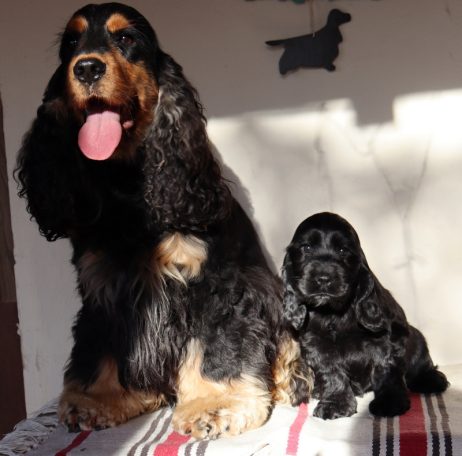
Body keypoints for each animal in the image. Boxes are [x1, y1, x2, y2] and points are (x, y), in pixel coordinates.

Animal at [15, 3, 310, 438]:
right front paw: (97, 400)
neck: (128, 185)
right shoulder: (104, 287)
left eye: (126, 38)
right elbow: (100, 345)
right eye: (70, 43)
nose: (86, 68)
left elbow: (215, 346)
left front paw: (214, 404)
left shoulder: (220, 285)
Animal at [282, 212, 448, 419]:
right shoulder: (316, 345)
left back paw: (431, 379)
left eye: (343, 250)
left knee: (421, 364)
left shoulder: (386, 341)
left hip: (416, 338)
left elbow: (386, 371)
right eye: (307, 248)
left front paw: (389, 403)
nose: (324, 279)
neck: (334, 312)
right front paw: (335, 404)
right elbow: (331, 373)